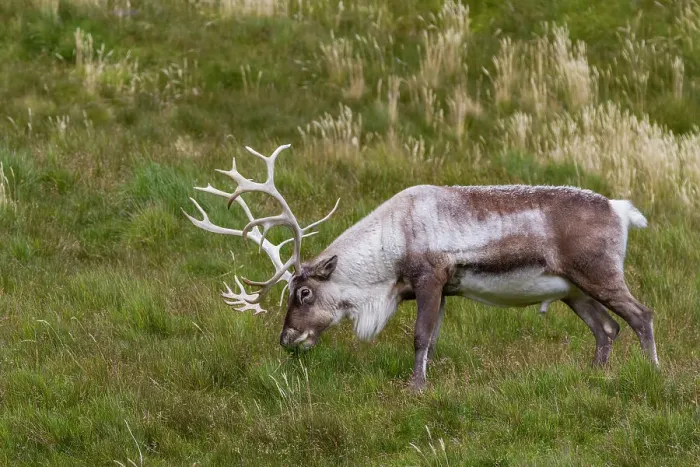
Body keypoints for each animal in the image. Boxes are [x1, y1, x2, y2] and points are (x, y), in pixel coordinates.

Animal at [184, 143, 658, 391]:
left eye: (303, 292)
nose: (286, 339)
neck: (390, 249)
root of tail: (621, 210)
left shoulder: (431, 277)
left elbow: (420, 337)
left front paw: (415, 388)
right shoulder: (444, 289)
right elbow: (432, 341)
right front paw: (424, 381)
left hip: (600, 274)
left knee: (641, 315)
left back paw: (654, 373)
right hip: (571, 290)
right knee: (607, 328)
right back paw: (594, 376)